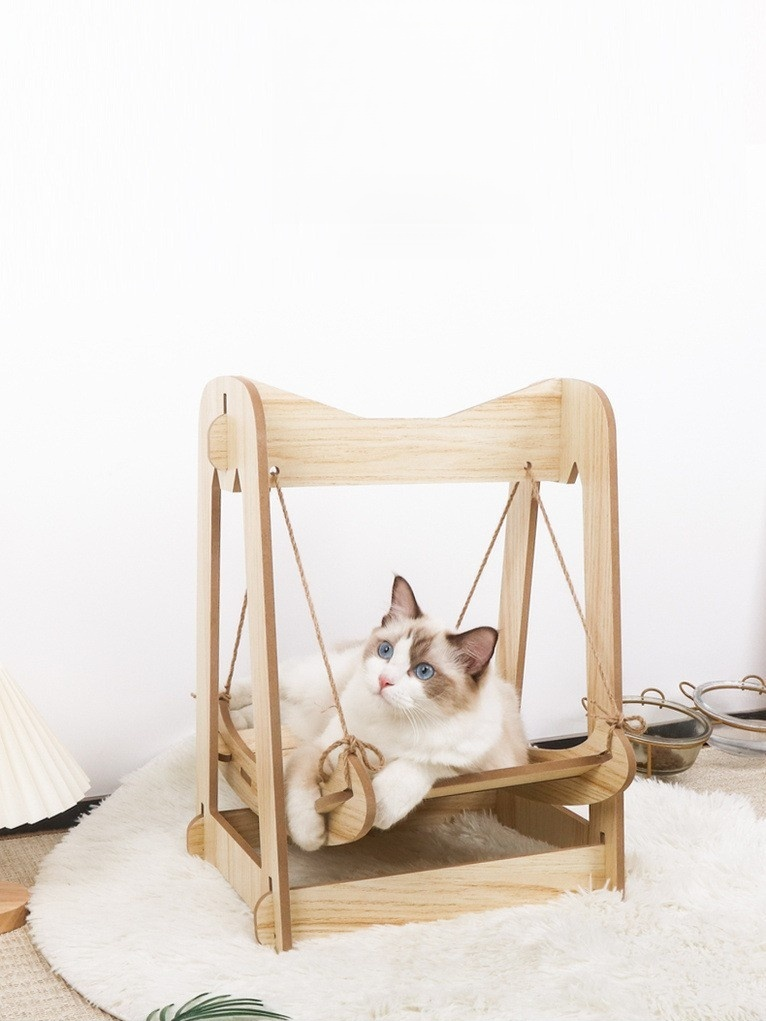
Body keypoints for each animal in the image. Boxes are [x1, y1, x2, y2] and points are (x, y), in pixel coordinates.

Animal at [279, 575, 529, 851]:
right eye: (385, 651)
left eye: (423, 671)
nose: (384, 680)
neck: (393, 723)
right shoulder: (323, 748)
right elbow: (301, 785)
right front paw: (310, 835)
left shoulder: (485, 767)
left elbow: (423, 764)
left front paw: (382, 805)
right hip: (312, 682)